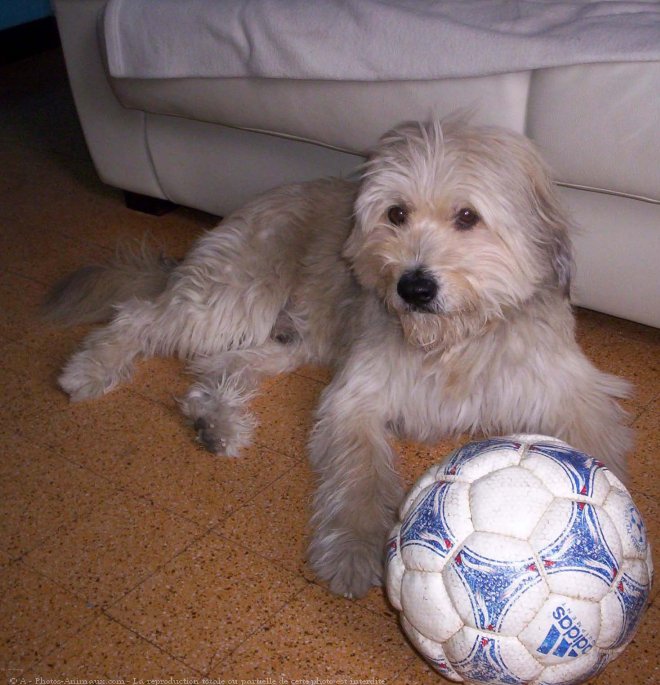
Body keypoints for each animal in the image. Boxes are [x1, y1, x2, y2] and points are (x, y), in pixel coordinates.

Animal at [43, 119, 632, 600]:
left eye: (468, 217)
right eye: (396, 213)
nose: (413, 287)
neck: (452, 341)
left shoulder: (574, 395)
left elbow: (598, 458)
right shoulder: (355, 398)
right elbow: (360, 477)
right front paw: (352, 553)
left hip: (286, 340)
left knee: (218, 365)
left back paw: (215, 421)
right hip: (233, 299)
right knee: (140, 316)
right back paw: (90, 369)